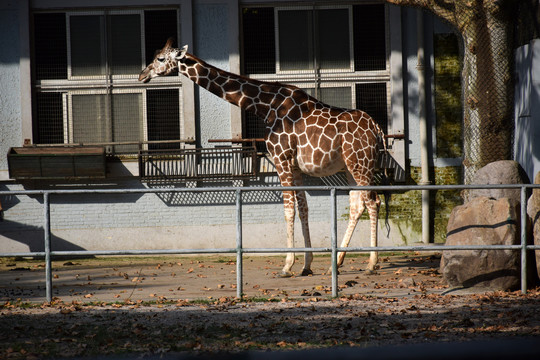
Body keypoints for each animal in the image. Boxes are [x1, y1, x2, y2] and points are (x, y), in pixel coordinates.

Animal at [139, 38, 384, 276]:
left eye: (160, 58)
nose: (142, 75)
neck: (265, 108)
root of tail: (376, 129)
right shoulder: (295, 167)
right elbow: (303, 209)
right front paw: (306, 265)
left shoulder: (281, 159)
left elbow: (288, 210)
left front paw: (287, 266)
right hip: (350, 167)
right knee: (357, 206)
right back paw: (338, 262)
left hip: (362, 164)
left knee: (373, 201)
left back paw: (371, 264)